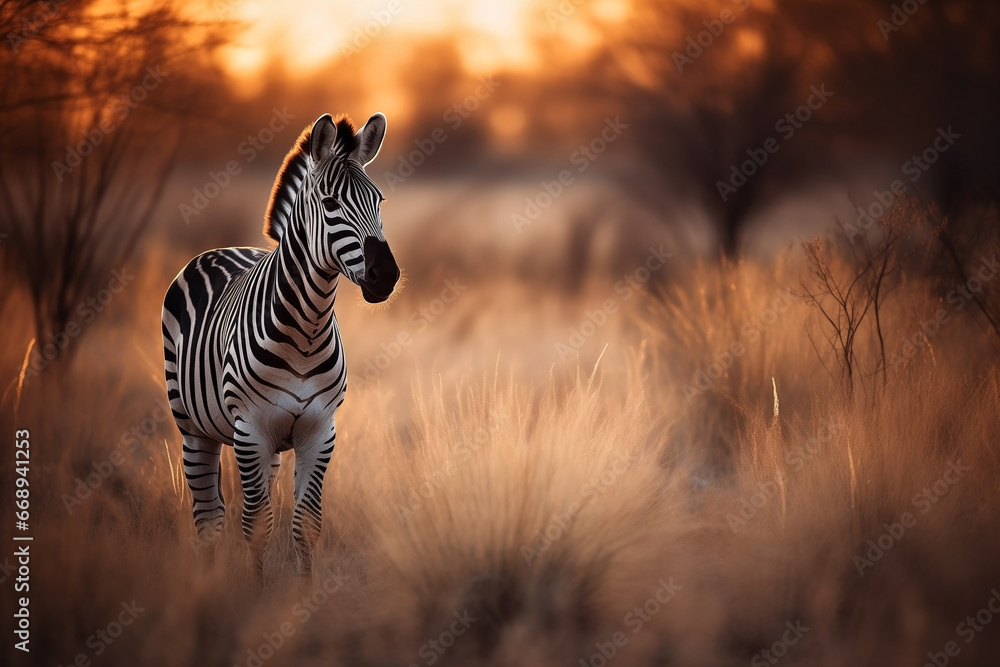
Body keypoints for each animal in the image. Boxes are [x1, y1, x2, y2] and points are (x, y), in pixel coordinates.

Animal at [161, 112, 399, 575]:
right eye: (330, 204)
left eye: (379, 201)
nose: (387, 276)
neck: (307, 330)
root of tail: (222, 250)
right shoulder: (251, 429)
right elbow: (255, 526)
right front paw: (256, 592)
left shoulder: (319, 431)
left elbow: (305, 525)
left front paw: (302, 593)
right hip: (195, 429)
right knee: (210, 518)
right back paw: (206, 581)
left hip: (265, 448)